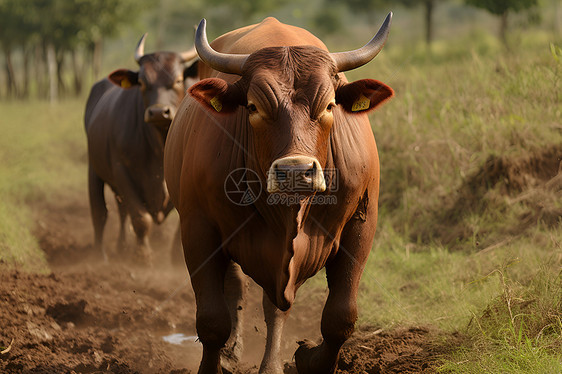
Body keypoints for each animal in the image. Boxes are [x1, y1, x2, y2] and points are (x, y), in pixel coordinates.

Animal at [83, 34, 197, 262]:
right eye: (143, 83)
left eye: (178, 80)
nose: (158, 112)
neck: (159, 146)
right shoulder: (123, 171)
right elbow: (140, 218)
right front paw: (142, 255)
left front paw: (176, 257)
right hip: (94, 169)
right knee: (100, 213)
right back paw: (101, 256)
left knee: (121, 211)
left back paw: (121, 247)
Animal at [164, 13, 394, 372]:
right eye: (253, 107)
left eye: (329, 105)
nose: (297, 172)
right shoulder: (198, 230)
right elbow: (212, 320)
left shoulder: (361, 224)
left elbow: (339, 317)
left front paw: (310, 359)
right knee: (238, 290)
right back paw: (231, 352)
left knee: (273, 307)